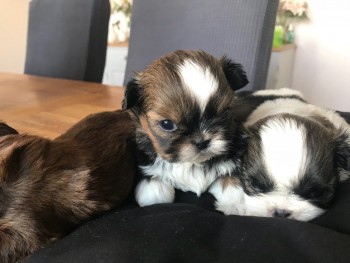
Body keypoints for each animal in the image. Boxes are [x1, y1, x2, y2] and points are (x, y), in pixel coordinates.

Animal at [123, 49, 249, 206]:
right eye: (167, 124)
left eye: (225, 112)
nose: (202, 142)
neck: (191, 164)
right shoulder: (147, 165)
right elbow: (155, 191)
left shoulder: (231, 163)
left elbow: (232, 186)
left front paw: (234, 205)